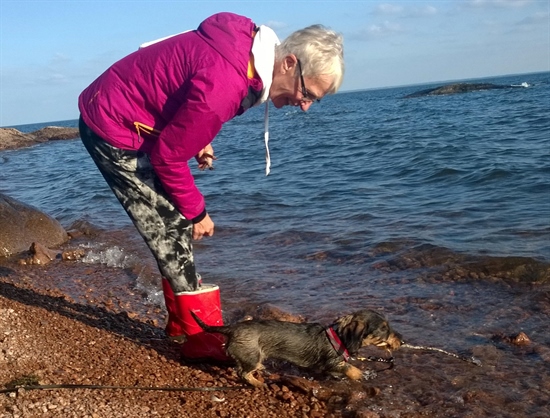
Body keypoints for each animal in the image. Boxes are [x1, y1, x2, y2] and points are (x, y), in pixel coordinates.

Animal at [192, 308, 404, 386]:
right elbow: (349, 368)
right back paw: (258, 383)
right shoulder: (331, 362)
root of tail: (232, 328)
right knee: (243, 373)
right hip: (252, 356)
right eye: (384, 328)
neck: (339, 337)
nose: (401, 340)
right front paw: (360, 374)